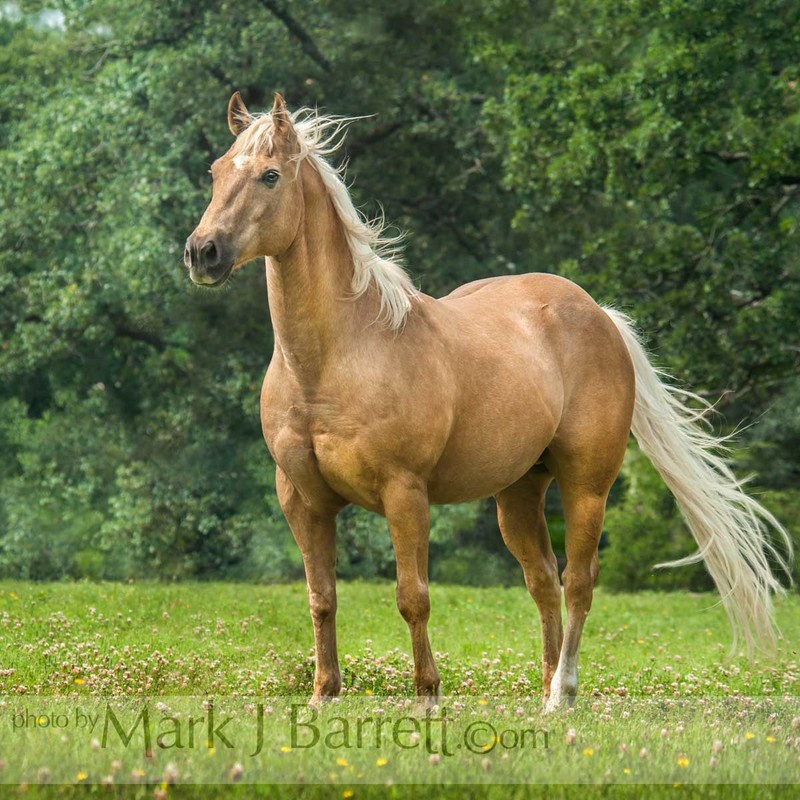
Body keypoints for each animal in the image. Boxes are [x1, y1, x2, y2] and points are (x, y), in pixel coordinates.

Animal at [184, 92, 792, 711]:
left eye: (270, 175)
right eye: (215, 171)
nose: (202, 252)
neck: (336, 357)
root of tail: (599, 314)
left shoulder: (405, 493)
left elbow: (413, 596)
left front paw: (427, 696)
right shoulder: (302, 500)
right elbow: (321, 598)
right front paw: (323, 696)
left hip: (586, 487)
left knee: (578, 582)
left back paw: (562, 693)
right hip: (518, 493)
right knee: (543, 580)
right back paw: (546, 694)